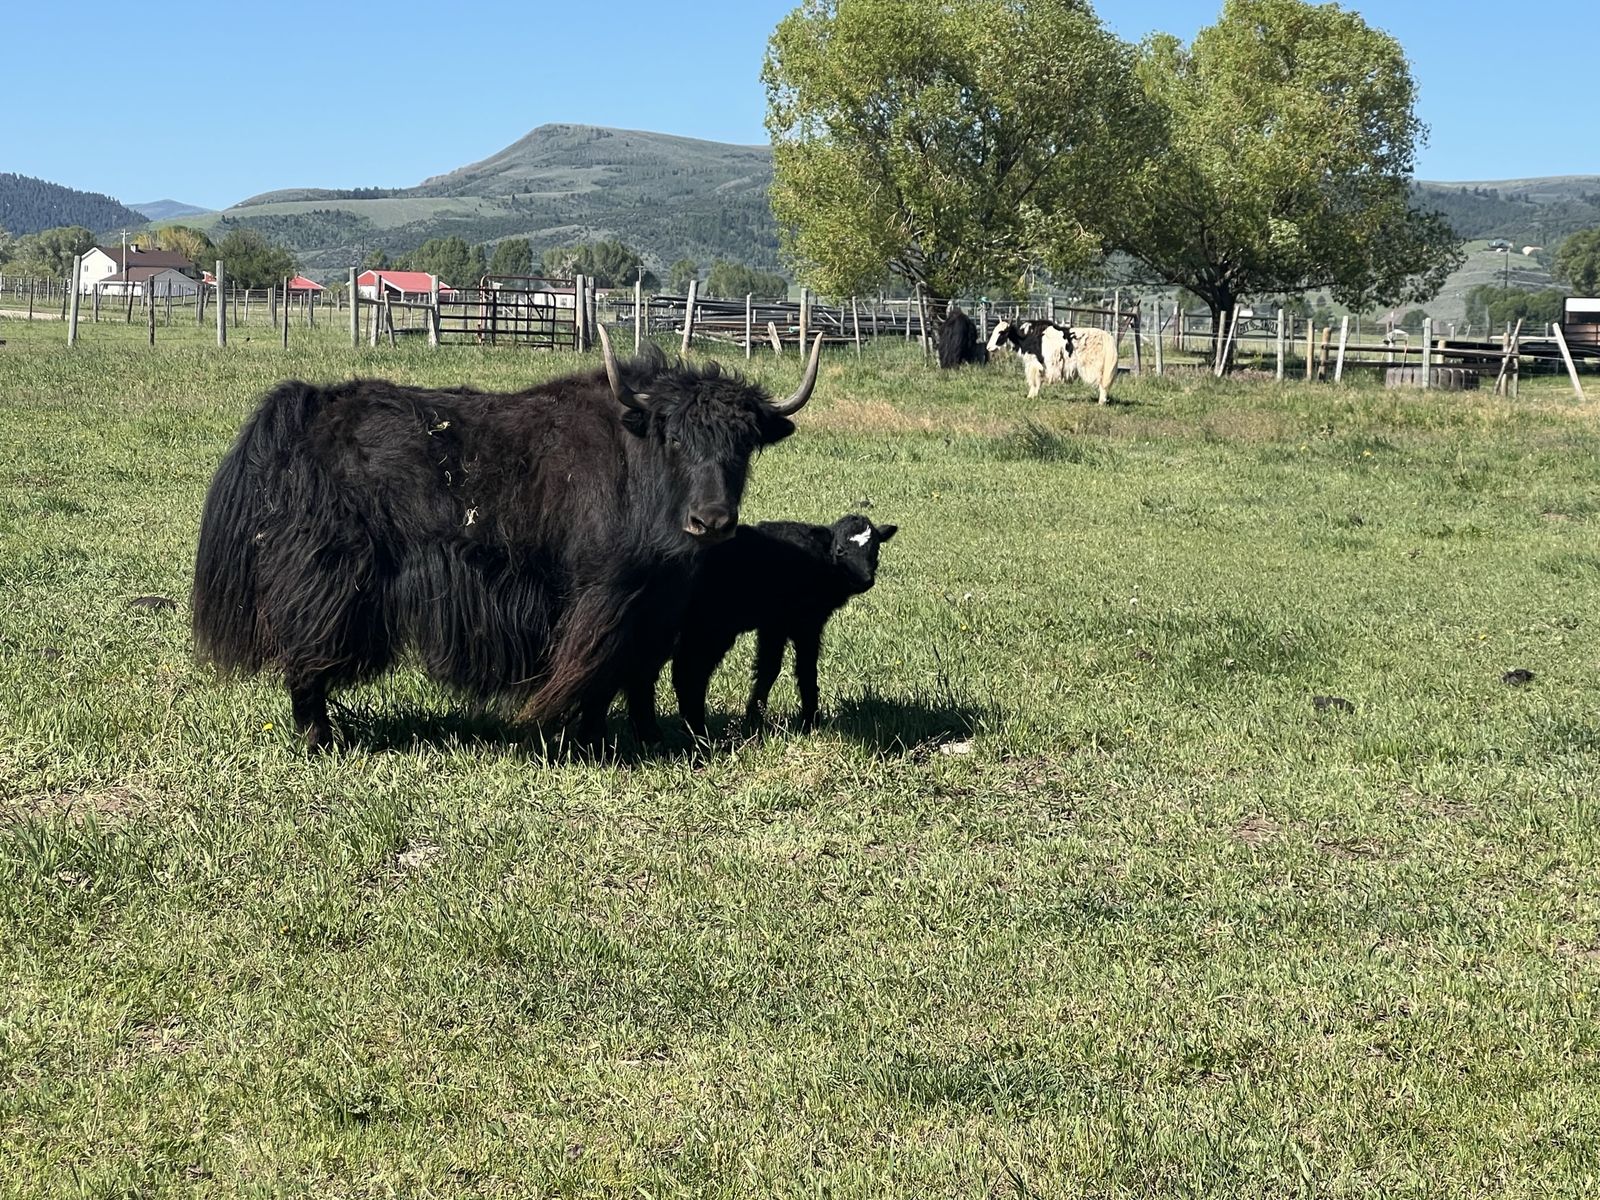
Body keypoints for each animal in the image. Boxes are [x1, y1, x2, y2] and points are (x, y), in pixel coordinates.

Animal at [191, 326, 824, 750]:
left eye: (745, 443)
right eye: (673, 437)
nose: (712, 522)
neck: (639, 462)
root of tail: (303, 410)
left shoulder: (658, 607)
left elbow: (639, 674)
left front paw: (649, 739)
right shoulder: (603, 596)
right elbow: (596, 671)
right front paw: (590, 743)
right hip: (331, 579)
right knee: (307, 657)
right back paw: (322, 741)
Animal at [660, 514, 898, 737]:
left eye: (876, 549)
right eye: (840, 550)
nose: (865, 580)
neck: (821, 562)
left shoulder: (773, 624)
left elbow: (768, 668)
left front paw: (754, 719)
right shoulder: (804, 621)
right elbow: (803, 670)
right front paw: (809, 723)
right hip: (710, 626)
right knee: (690, 672)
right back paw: (698, 735)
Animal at [988, 318, 1120, 403]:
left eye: (1001, 332)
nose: (989, 348)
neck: (1026, 336)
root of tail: (1107, 337)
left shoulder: (1034, 363)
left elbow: (1034, 381)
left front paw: (1030, 397)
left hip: (1095, 367)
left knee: (1102, 384)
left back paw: (1101, 402)